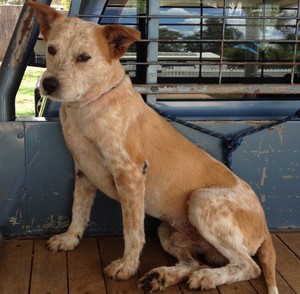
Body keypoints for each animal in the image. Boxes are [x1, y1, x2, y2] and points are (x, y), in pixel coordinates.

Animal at [28, 2, 278, 294]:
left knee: (248, 266)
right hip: (168, 233)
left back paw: (208, 277)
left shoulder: (131, 175)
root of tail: (265, 225)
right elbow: (78, 210)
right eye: (51, 49)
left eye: (84, 57)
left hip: (201, 200)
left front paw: (126, 267)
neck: (88, 107)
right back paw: (162, 276)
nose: (48, 84)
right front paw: (70, 239)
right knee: (195, 263)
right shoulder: (83, 170)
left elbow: (133, 231)